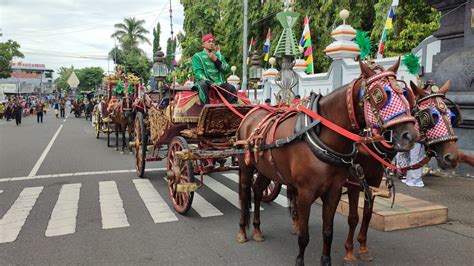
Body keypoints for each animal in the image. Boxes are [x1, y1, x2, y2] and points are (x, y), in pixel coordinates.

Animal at [237, 59, 418, 264]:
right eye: (379, 94)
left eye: (404, 94)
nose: (410, 135)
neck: (322, 139)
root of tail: (251, 114)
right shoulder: (306, 193)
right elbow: (304, 236)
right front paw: (300, 260)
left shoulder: (335, 192)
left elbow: (329, 232)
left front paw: (326, 260)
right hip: (246, 167)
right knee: (244, 193)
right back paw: (243, 231)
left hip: (266, 170)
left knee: (258, 191)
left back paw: (257, 229)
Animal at [342, 79, 462, 264]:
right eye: (430, 117)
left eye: (451, 116)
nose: (453, 157)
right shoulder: (354, 179)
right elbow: (353, 217)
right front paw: (348, 251)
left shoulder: (374, 179)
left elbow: (368, 214)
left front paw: (363, 247)